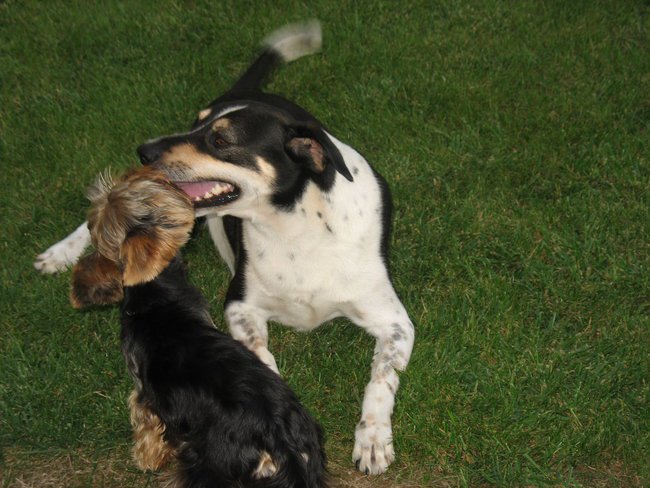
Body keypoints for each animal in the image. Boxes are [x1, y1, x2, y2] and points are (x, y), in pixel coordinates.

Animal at [69, 167, 330, 484]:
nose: (144, 169)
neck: (156, 292)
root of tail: (280, 442)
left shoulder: (144, 393)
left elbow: (146, 424)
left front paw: (146, 458)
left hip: (209, 463)